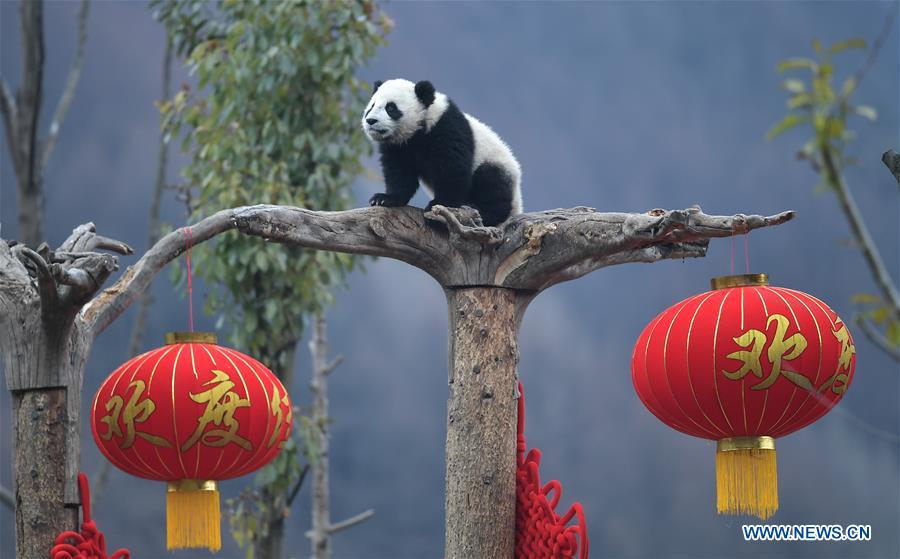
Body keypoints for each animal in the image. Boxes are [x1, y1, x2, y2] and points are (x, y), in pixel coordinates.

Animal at [362, 79, 522, 226]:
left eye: (391, 108)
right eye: (371, 106)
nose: (371, 120)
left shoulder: (446, 128)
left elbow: (451, 171)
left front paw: (438, 208)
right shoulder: (398, 146)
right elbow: (399, 173)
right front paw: (383, 198)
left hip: (498, 166)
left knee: (491, 181)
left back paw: (482, 210)